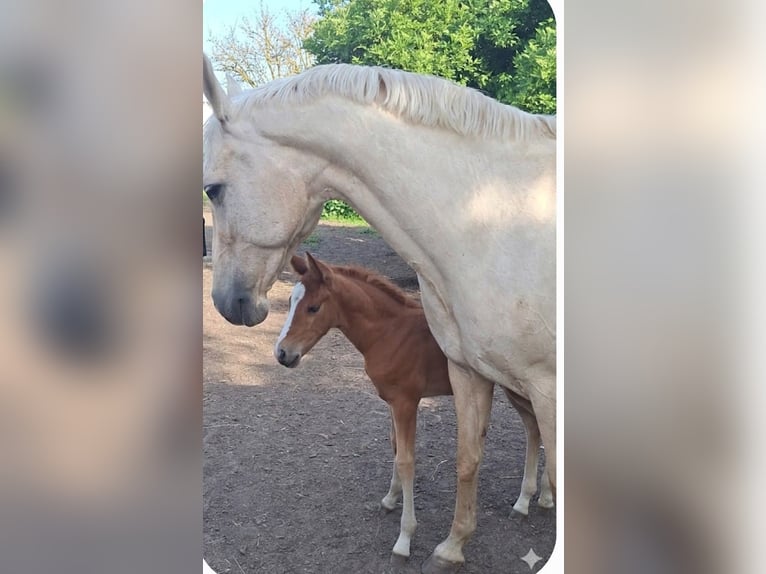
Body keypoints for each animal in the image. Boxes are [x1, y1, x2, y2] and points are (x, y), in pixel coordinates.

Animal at [273, 253, 553, 562]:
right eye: (290, 302)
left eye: (313, 307)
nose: (282, 354)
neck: (389, 333)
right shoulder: (391, 402)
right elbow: (395, 447)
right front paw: (390, 499)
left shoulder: (406, 402)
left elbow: (406, 461)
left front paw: (404, 539)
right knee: (535, 428)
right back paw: (537, 499)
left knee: (535, 427)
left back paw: (528, 500)